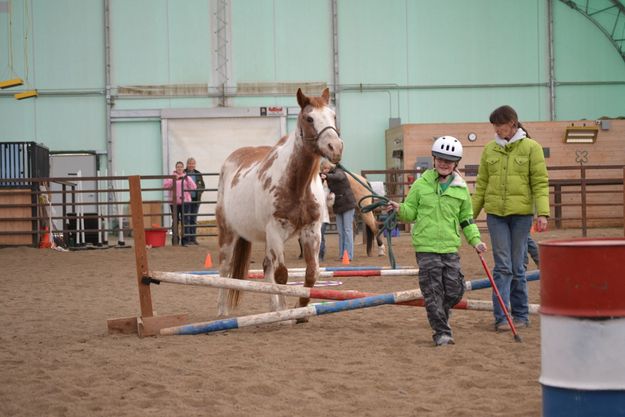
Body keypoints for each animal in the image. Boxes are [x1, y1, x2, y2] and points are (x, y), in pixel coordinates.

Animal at [217, 88, 344, 316]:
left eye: (333, 115)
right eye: (309, 118)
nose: (335, 147)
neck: (296, 184)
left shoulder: (311, 231)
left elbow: (312, 273)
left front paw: (299, 310)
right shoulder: (275, 230)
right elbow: (282, 275)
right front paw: (288, 313)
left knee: (267, 267)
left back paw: (273, 309)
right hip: (228, 232)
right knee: (225, 268)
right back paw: (223, 312)